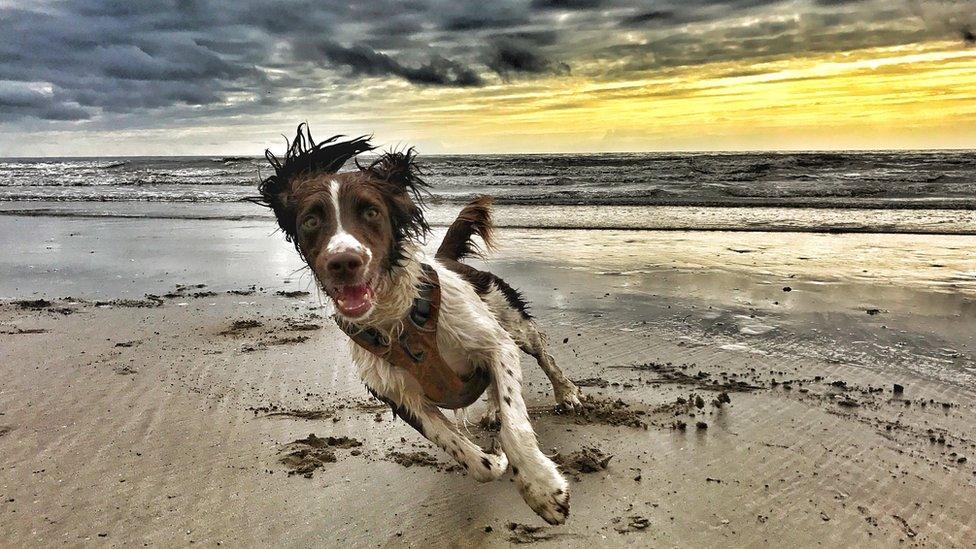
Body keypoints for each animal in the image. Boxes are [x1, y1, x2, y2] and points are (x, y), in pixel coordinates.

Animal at [255, 124, 584, 524]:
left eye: (371, 211)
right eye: (311, 220)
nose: (343, 262)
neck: (399, 319)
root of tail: (449, 259)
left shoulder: (495, 343)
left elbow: (514, 423)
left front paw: (542, 488)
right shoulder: (398, 395)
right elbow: (469, 457)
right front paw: (493, 459)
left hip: (510, 319)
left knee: (542, 352)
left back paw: (566, 393)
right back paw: (493, 411)